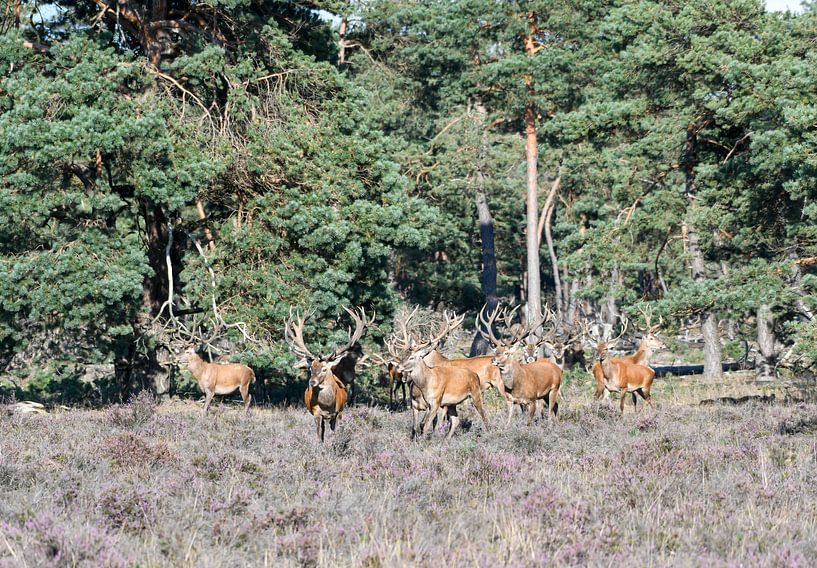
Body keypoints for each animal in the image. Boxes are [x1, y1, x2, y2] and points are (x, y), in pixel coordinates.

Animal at [285, 306, 375, 442]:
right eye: (311, 368)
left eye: (324, 369)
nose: (312, 382)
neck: (327, 405)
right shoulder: (316, 413)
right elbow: (319, 435)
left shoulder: (339, 412)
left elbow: (334, 431)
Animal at [392, 309, 489, 439]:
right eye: (403, 355)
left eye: (412, 357)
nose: (398, 367)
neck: (427, 383)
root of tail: (475, 375)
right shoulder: (428, 403)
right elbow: (417, 426)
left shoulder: (436, 401)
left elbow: (426, 425)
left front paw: (424, 441)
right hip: (452, 403)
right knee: (455, 420)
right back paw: (446, 440)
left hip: (475, 393)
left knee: (483, 414)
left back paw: (488, 434)